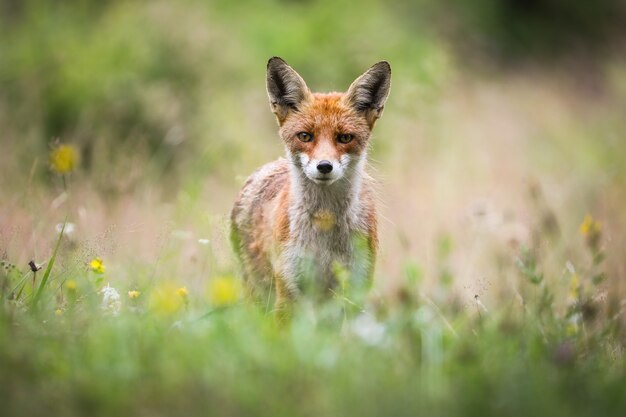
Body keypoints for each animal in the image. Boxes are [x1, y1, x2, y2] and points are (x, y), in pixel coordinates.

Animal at [230, 57, 390, 310]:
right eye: (305, 136)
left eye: (345, 137)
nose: (324, 166)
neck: (325, 228)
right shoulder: (288, 291)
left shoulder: (355, 289)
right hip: (259, 294)